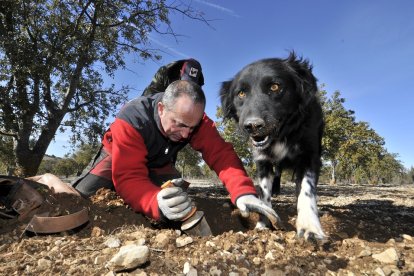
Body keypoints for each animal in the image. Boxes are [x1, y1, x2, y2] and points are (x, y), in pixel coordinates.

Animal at [222, 51, 326, 239]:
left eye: (275, 87)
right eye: (241, 94)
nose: (252, 126)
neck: (282, 134)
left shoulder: (309, 155)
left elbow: (306, 190)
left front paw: (310, 227)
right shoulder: (262, 160)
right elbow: (264, 194)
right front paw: (263, 223)